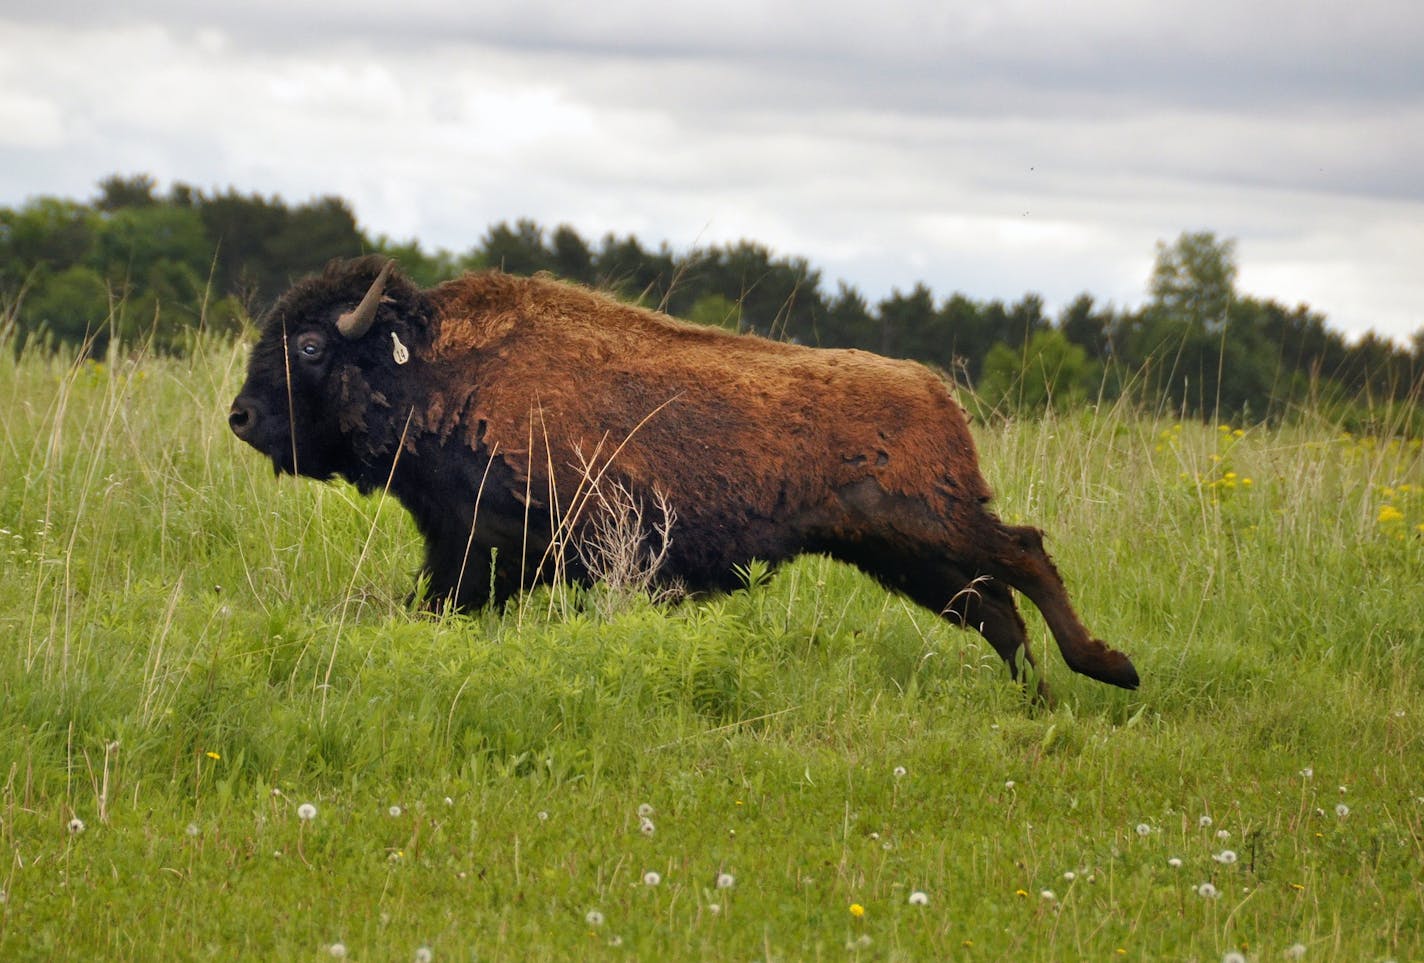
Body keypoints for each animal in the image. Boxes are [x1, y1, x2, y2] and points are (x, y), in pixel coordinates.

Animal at [233, 253, 1139, 692]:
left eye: (309, 344)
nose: (241, 416)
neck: (435, 364)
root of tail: (935, 391)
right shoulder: (465, 558)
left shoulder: (507, 551)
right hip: (904, 554)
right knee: (994, 609)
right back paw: (1037, 698)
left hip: (931, 524)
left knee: (1024, 556)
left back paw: (1109, 668)